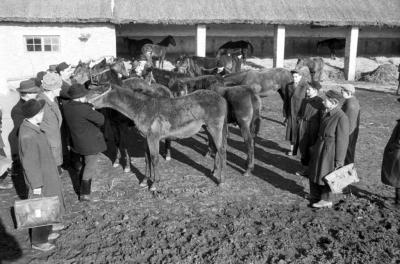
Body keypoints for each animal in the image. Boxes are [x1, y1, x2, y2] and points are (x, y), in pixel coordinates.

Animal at [87, 84, 228, 190]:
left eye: (97, 92)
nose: (85, 102)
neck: (142, 107)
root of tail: (221, 98)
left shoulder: (153, 138)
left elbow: (154, 159)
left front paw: (154, 184)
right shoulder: (146, 138)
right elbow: (147, 158)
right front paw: (144, 181)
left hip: (215, 129)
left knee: (221, 151)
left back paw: (221, 181)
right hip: (208, 129)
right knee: (216, 149)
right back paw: (214, 171)